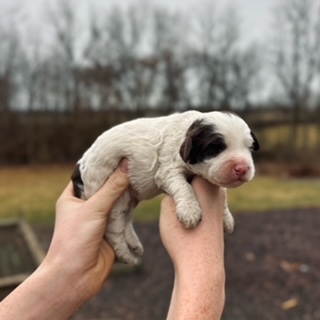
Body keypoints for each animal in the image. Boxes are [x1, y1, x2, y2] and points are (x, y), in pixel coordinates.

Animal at [71, 110, 258, 264]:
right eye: (215, 148)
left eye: (249, 148)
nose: (242, 168)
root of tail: (79, 166)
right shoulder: (167, 170)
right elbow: (184, 186)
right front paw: (190, 212)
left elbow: (223, 193)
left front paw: (227, 218)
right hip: (113, 195)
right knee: (114, 229)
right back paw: (127, 257)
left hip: (131, 196)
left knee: (126, 220)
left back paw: (135, 245)